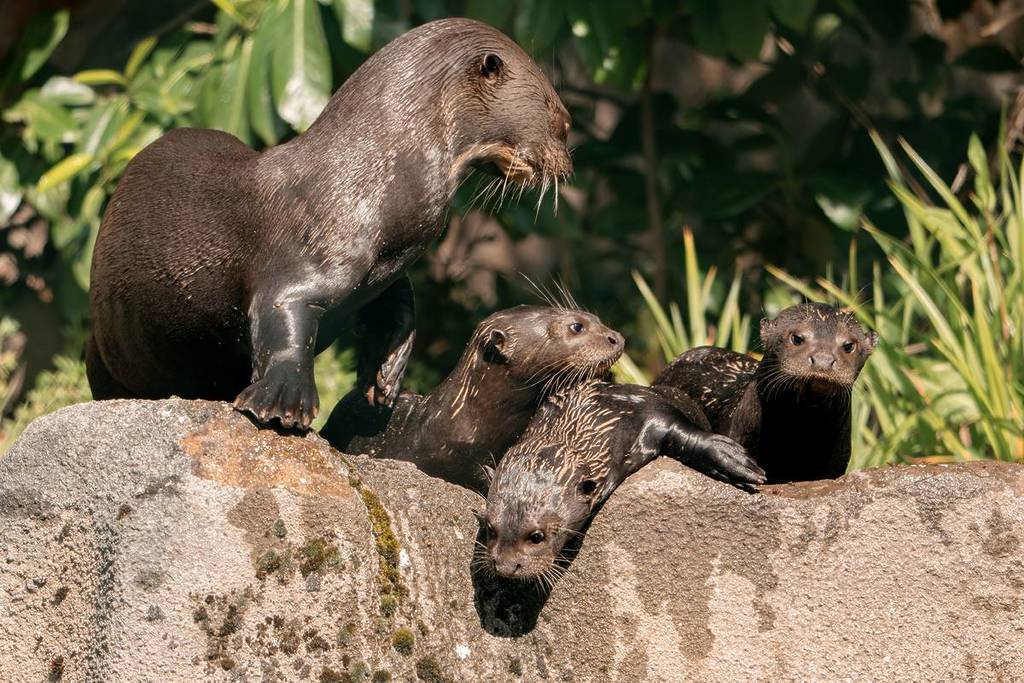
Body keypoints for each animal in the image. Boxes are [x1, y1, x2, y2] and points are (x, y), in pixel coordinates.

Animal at [86, 18, 572, 430]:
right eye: (562, 123)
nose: (566, 165)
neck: (378, 175)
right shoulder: (311, 249)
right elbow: (282, 315)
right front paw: (283, 404)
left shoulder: (384, 271)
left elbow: (403, 309)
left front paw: (385, 376)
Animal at [479, 380, 765, 581]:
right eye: (490, 528)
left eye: (536, 536)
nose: (505, 566)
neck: (597, 415)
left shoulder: (653, 413)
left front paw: (732, 459)